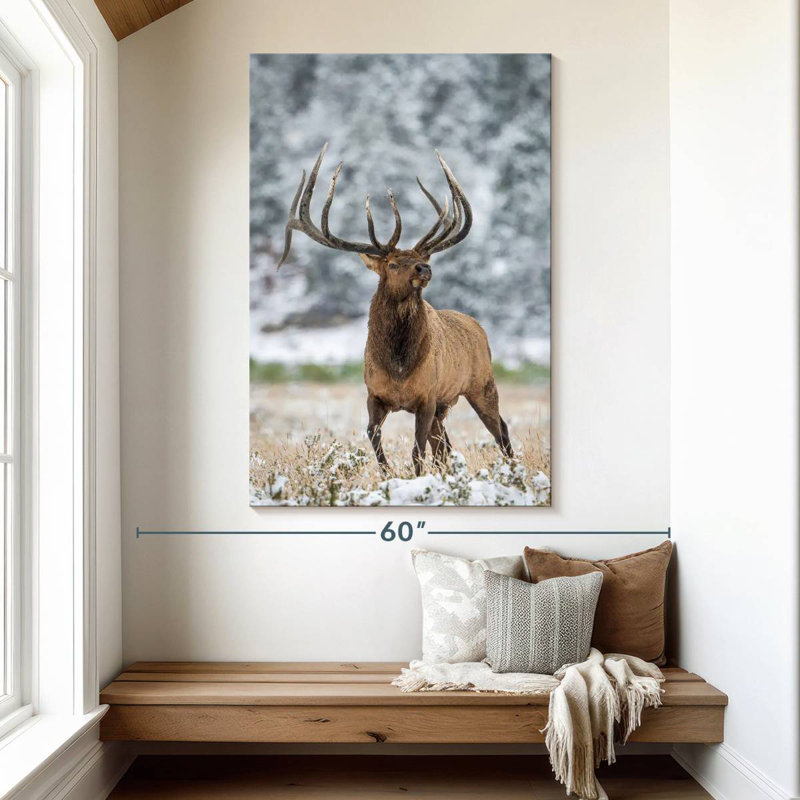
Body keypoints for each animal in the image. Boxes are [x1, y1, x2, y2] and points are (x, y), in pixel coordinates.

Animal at [276, 143, 513, 477]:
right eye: (391, 263)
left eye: (421, 258)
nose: (424, 268)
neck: (399, 367)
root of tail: (479, 328)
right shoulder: (375, 395)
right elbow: (374, 437)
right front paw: (388, 474)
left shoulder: (427, 397)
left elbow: (417, 452)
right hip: (447, 405)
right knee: (446, 445)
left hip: (481, 384)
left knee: (499, 430)